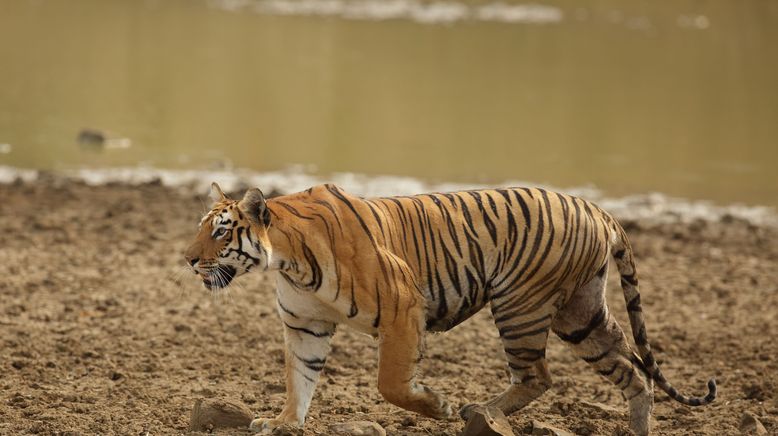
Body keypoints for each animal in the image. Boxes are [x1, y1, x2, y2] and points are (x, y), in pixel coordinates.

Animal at [183, 182, 716, 434]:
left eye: (221, 232)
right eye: (201, 227)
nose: (187, 259)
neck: (287, 259)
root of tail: (597, 208)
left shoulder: (402, 306)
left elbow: (392, 383)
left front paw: (435, 406)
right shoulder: (305, 324)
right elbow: (300, 378)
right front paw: (284, 422)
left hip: (520, 304)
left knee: (537, 376)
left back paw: (476, 411)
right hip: (580, 315)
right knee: (634, 372)